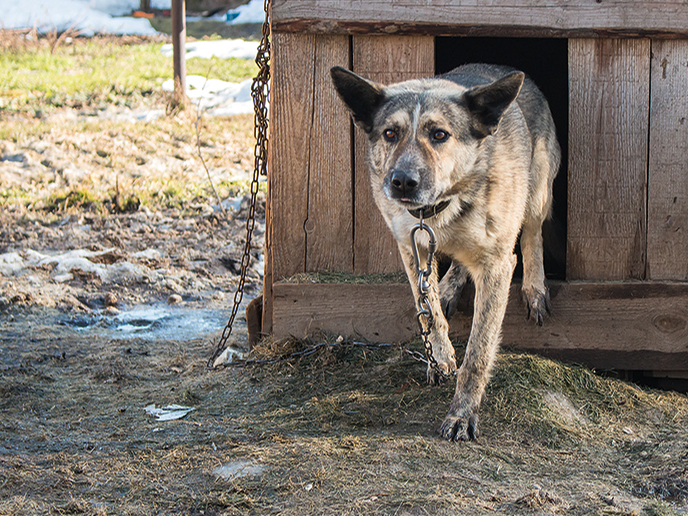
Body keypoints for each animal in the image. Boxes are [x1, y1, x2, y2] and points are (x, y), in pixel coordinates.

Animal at [330, 62, 560, 442]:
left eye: (439, 135)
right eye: (390, 133)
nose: (402, 182)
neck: (437, 208)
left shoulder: (497, 265)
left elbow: (479, 352)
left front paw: (462, 414)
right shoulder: (411, 248)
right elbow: (429, 311)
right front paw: (440, 357)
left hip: (538, 189)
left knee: (533, 233)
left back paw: (534, 288)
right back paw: (451, 285)